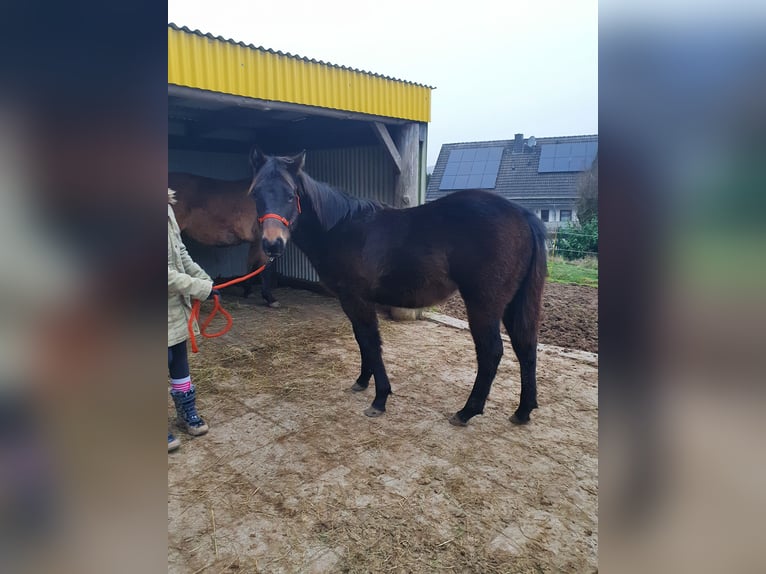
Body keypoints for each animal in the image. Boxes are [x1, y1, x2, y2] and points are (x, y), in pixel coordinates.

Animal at [249, 151, 548, 426]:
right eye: (255, 194)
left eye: (291, 195)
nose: (272, 244)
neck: (341, 229)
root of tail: (522, 214)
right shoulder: (354, 301)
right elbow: (362, 340)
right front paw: (362, 381)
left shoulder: (355, 299)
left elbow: (371, 342)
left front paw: (379, 399)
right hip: (511, 303)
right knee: (525, 347)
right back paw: (522, 411)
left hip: (484, 304)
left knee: (491, 352)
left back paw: (467, 412)